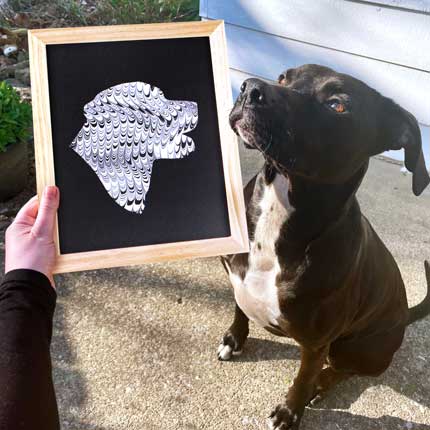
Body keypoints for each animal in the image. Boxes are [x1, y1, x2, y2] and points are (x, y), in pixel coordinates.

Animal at [218, 63, 430, 430]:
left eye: (337, 105)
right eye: (284, 77)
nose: (249, 88)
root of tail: (405, 315)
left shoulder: (316, 343)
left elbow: (303, 377)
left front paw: (290, 411)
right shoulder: (238, 278)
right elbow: (239, 307)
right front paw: (234, 338)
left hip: (355, 348)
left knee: (344, 370)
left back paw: (321, 383)